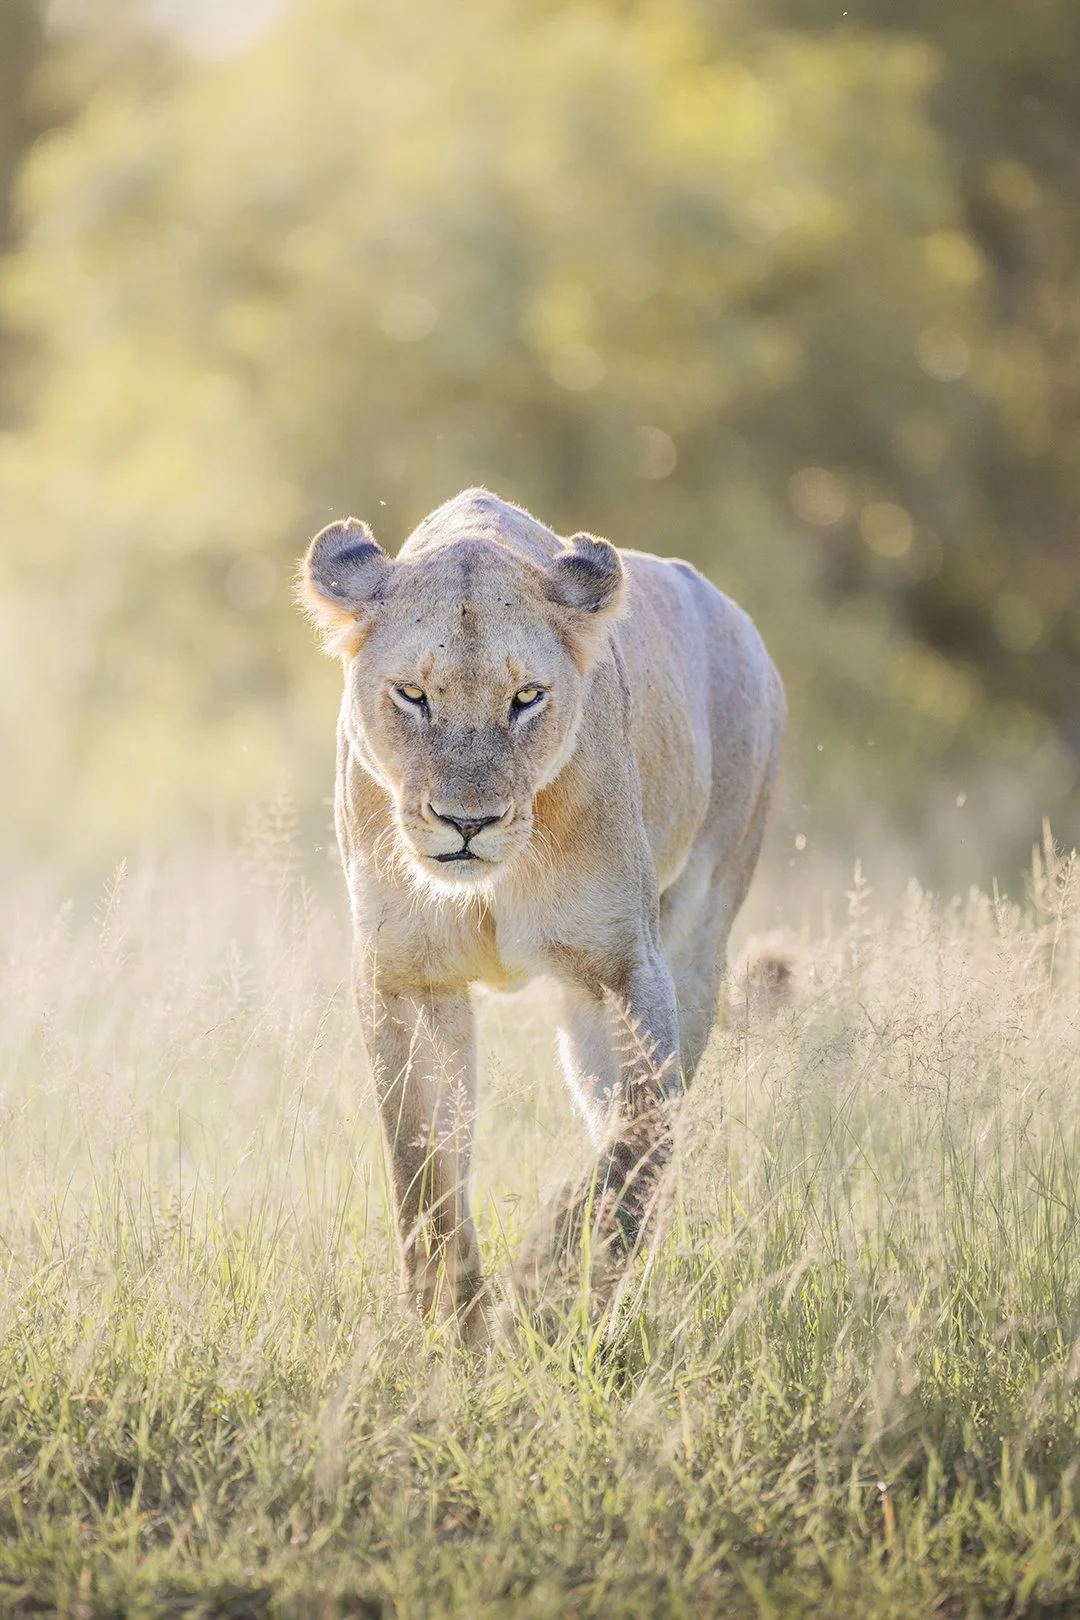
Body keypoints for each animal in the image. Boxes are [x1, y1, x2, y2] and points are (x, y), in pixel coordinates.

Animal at [299, 488, 785, 1342]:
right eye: (413, 695)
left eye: (526, 698)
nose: (467, 823)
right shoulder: (406, 977)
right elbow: (424, 1170)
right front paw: (449, 1328)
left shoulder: (625, 967)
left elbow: (638, 1142)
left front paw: (550, 1287)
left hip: (701, 931)